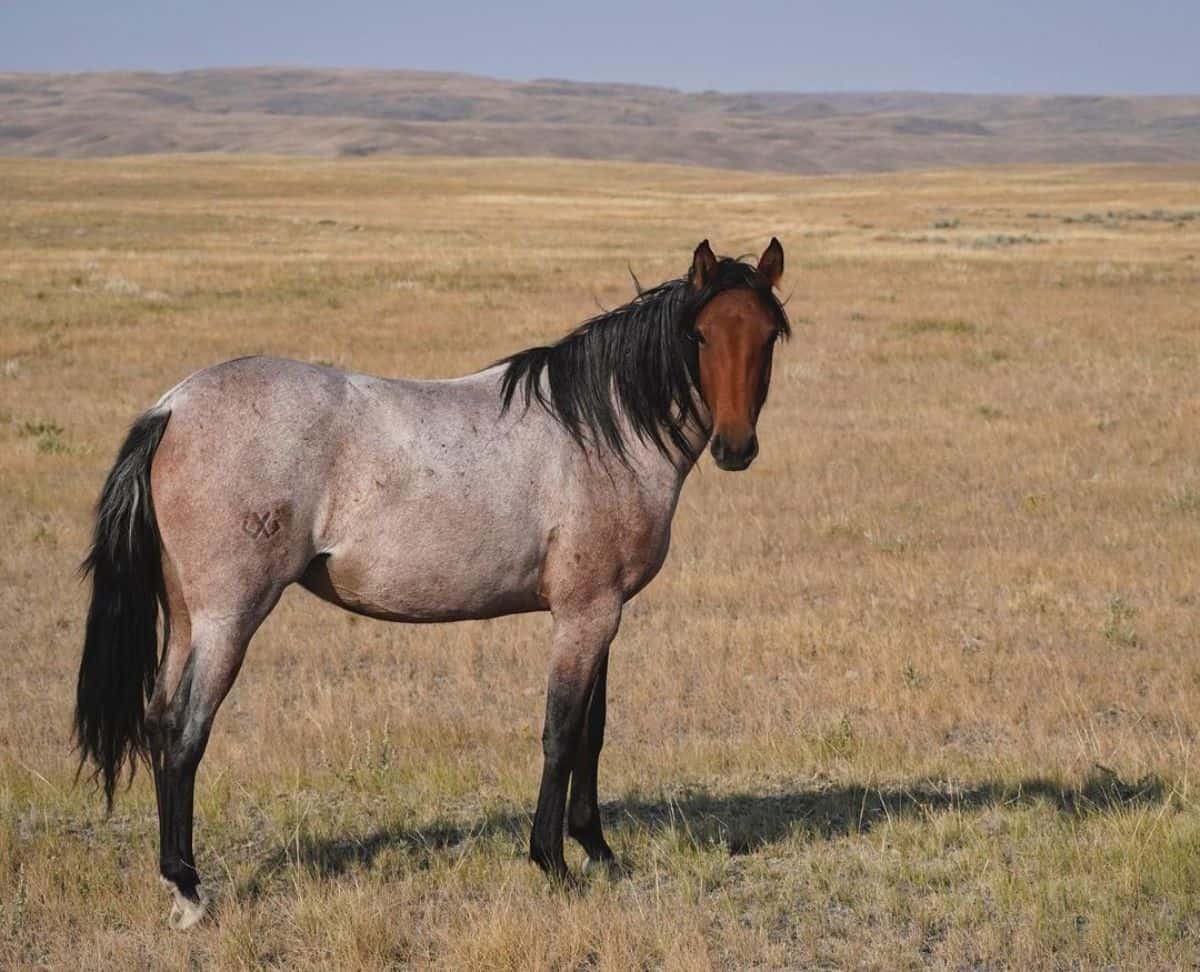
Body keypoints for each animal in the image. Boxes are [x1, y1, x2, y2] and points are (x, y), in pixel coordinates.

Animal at [72, 235, 787, 926]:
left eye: (768, 334)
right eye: (699, 336)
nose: (735, 448)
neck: (599, 435)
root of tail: (172, 408)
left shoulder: (602, 613)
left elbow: (593, 730)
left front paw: (599, 851)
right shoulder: (586, 615)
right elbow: (561, 733)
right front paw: (552, 862)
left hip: (187, 617)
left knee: (158, 720)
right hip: (229, 617)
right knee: (184, 731)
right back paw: (188, 890)